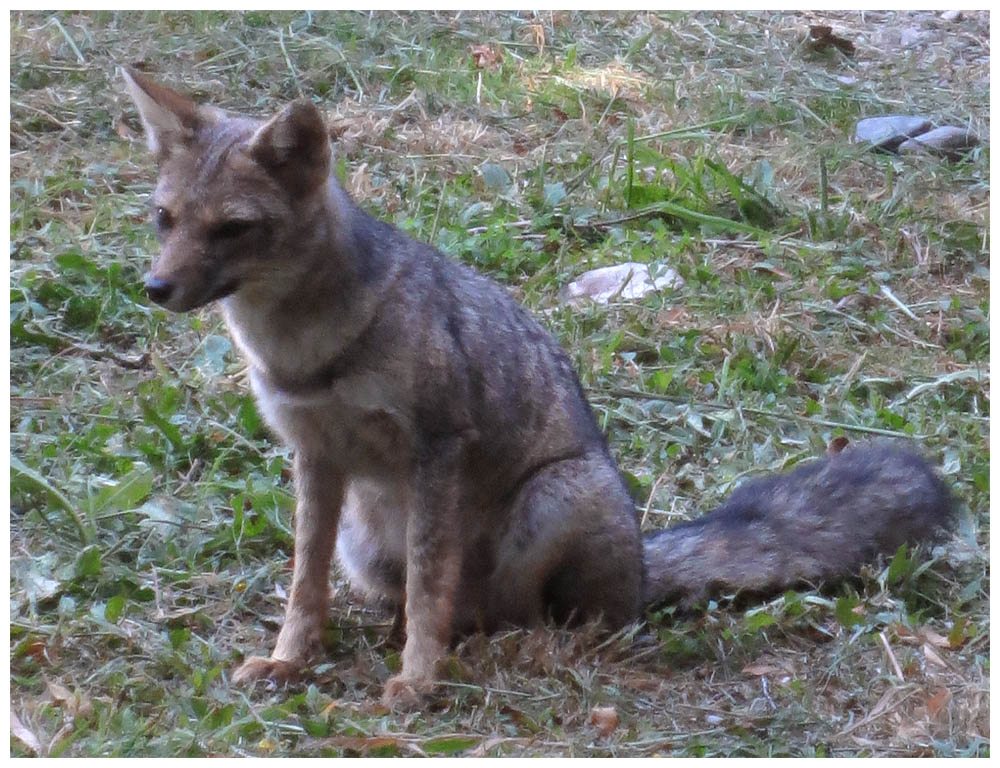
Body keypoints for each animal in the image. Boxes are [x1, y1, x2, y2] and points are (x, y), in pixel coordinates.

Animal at [119, 70, 952, 708]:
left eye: (231, 229)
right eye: (164, 220)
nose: (155, 288)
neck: (304, 349)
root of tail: (643, 565)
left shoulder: (436, 447)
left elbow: (429, 588)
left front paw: (417, 682)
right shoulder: (315, 458)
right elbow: (304, 584)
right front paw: (292, 660)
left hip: (550, 503)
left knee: (524, 618)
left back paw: (515, 647)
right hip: (367, 539)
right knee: (448, 609)